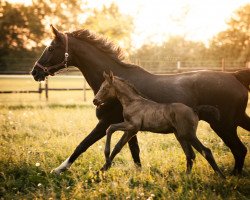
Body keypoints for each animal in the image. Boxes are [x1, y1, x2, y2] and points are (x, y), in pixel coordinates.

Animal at [93, 72, 225, 178]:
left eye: (105, 88)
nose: (95, 101)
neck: (133, 103)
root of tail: (194, 110)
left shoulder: (133, 127)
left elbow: (110, 128)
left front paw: (106, 157)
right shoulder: (130, 130)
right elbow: (118, 147)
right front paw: (103, 169)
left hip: (189, 134)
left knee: (206, 151)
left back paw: (221, 177)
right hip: (180, 136)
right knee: (190, 154)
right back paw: (187, 177)